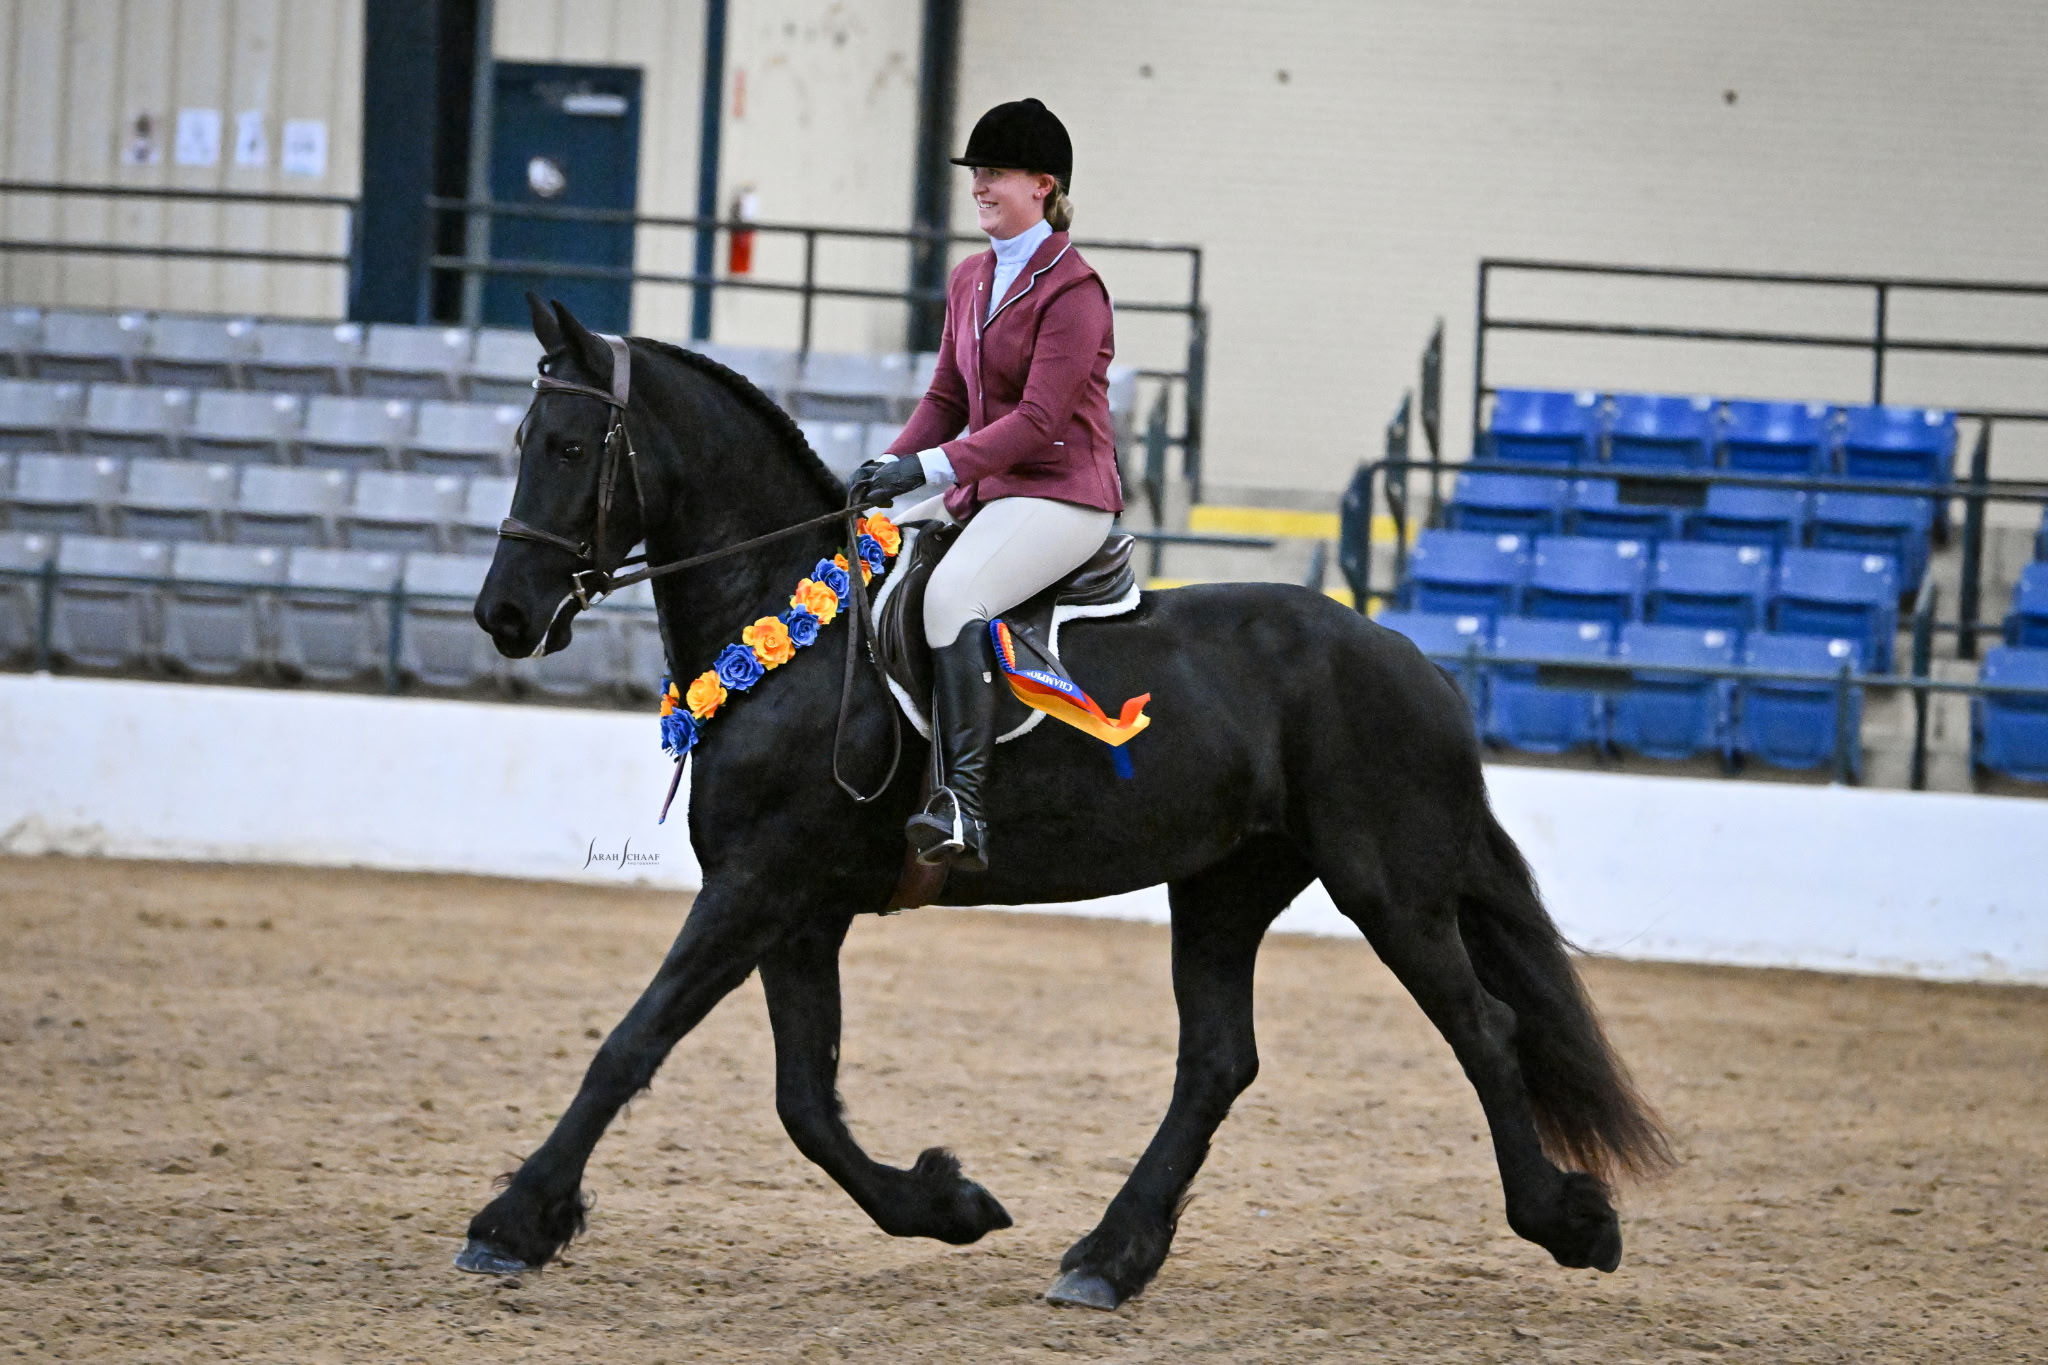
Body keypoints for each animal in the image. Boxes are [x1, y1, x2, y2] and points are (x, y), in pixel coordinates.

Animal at [459, 295, 1672, 1310]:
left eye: (569, 447)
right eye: (524, 443)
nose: (504, 616)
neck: (790, 625)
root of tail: (1411, 658)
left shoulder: (759, 886)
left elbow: (632, 1044)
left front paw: (510, 1223)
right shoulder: (799, 908)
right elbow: (803, 1100)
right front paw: (945, 1204)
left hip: (1388, 886)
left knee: (1482, 1027)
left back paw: (1568, 1223)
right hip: (1225, 884)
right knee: (1217, 1062)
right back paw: (1107, 1258)